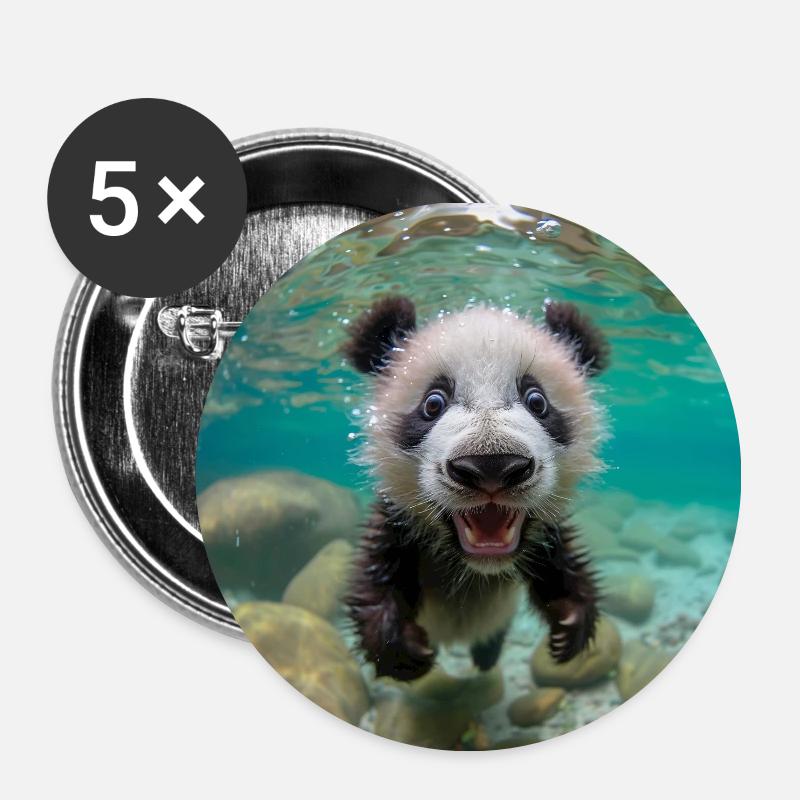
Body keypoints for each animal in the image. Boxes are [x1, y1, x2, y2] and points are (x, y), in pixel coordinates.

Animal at [343, 295, 610, 681]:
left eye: (537, 401)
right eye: (433, 403)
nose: (492, 466)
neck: (476, 566)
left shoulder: (548, 532)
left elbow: (566, 567)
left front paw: (569, 625)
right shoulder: (397, 521)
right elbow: (374, 580)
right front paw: (401, 649)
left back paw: (486, 654)